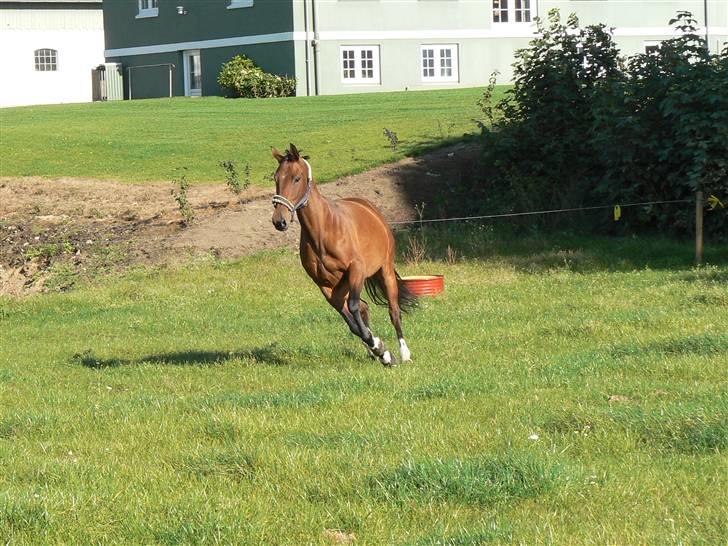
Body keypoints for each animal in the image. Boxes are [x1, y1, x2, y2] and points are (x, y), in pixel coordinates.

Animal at [270, 144, 416, 366]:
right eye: (276, 178)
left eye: (296, 178)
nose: (279, 221)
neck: (323, 230)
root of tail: (370, 208)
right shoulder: (325, 286)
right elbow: (351, 322)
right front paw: (380, 349)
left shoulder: (356, 270)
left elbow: (353, 308)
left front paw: (383, 350)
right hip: (343, 284)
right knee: (364, 308)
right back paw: (374, 352)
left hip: (385, 271)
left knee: (393, 310)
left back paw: (404, 353)